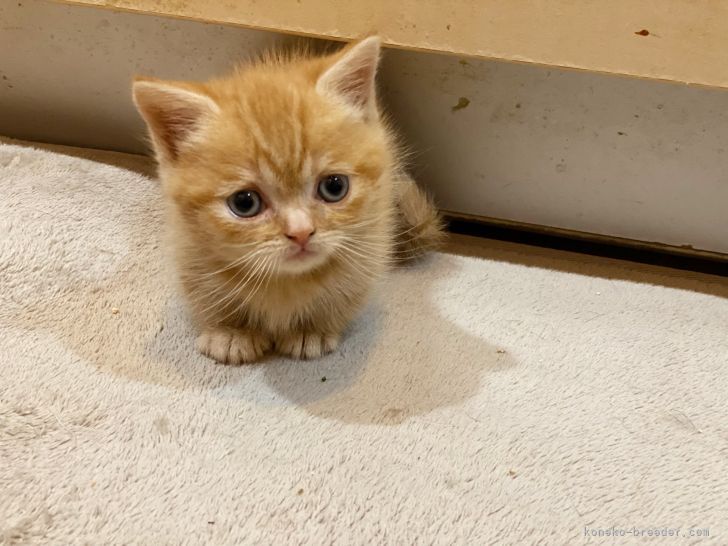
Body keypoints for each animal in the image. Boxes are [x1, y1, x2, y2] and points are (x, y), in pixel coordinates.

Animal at [132, 37, 440, 362]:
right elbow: (206, 293)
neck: (285, 281)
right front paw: (230, 331)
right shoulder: (189, 248)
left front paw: (311, 330)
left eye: (334, 187)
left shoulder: (369, 244)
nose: (301, 232)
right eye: (244, 203)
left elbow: (344, 293)